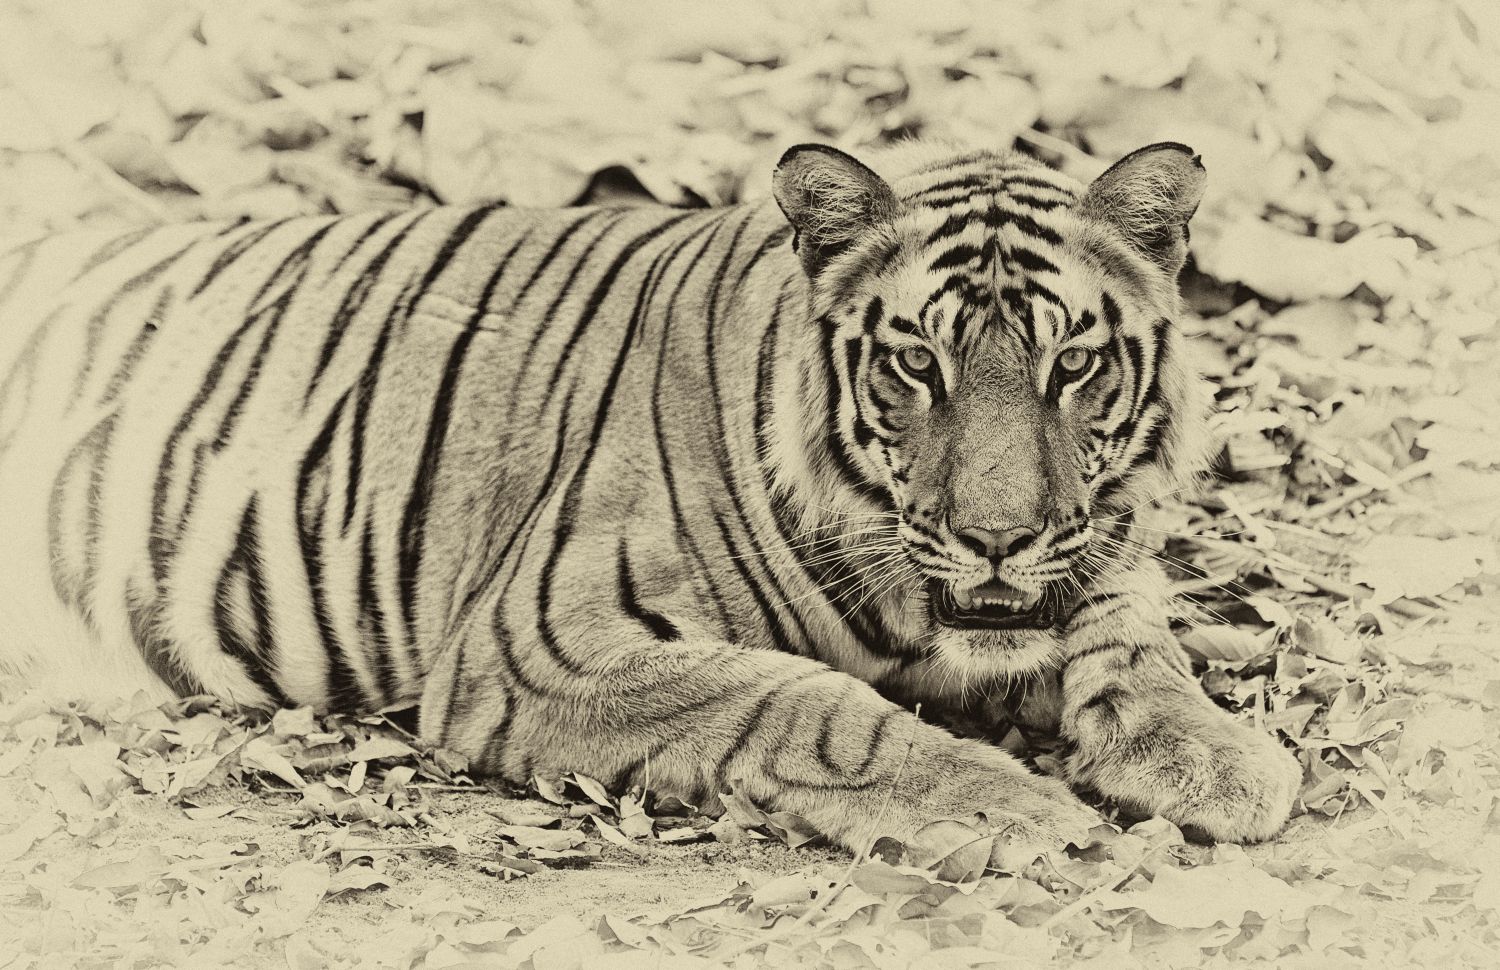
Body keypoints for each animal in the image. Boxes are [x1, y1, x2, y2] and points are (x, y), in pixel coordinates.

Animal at [0, 139, 1302, 854]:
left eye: (1071, 364)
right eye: (914, 363)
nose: (995, 538)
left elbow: (1130, 626)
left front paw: (1217, 753)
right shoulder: (540, 643)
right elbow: (798, 700)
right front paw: (1004, 806)